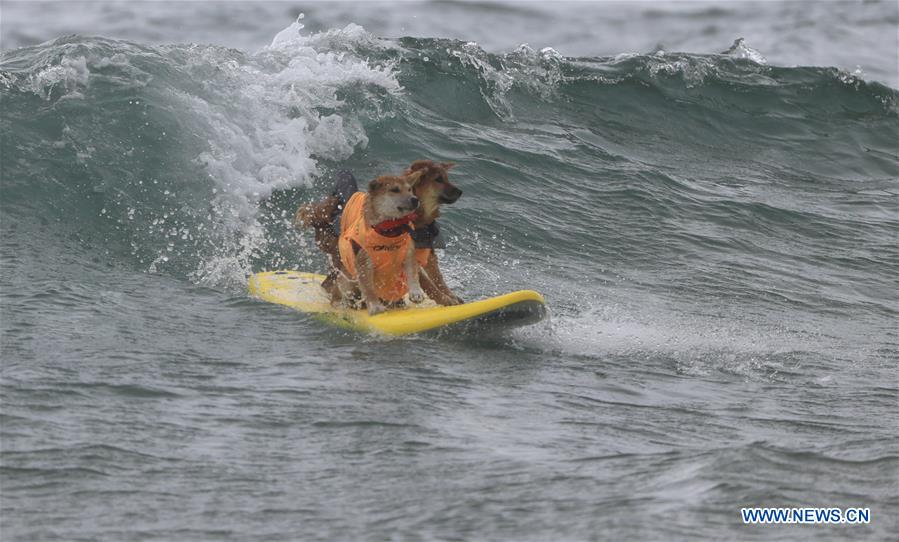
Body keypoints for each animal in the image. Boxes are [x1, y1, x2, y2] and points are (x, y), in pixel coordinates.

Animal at [296, 159, 464, 308]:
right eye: (438, 179)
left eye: (447, 178)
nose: (461, 192)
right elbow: (428, 283)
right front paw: (446, 300)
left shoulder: (427, 254)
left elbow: (438, 278)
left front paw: (452, 296)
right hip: (342, 255)